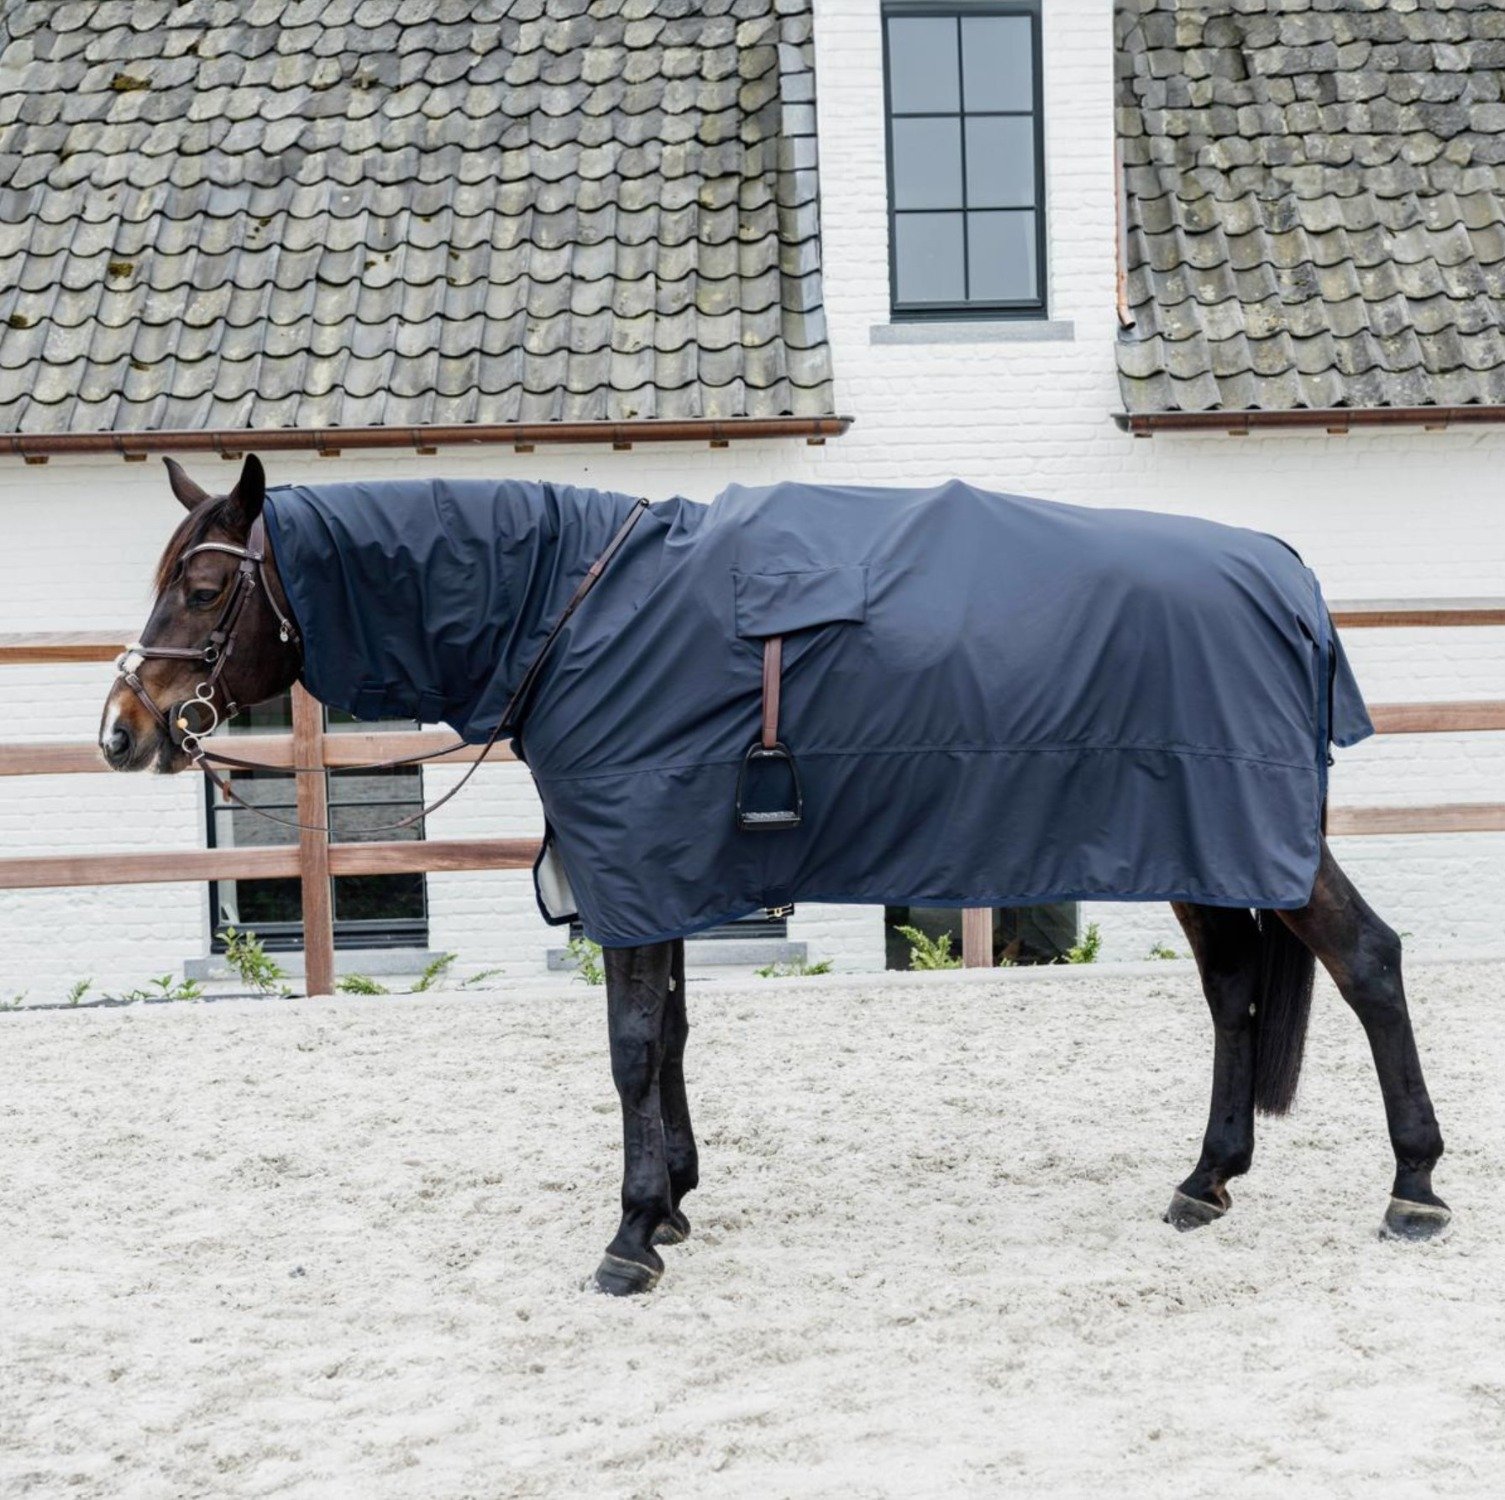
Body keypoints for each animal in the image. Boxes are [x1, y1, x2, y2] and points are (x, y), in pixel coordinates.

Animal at [99, 453, 1450, 1295]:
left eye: (205, 585)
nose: (122, 729)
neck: (570, 611)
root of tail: (1284, 573)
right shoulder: (653, 870)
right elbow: (670, 1036)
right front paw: (674, 1200)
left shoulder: (634, 862)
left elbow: (629, 1047)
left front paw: (631, 1234)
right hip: (1203, 848)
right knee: (1232, 992)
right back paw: (1206, 1181)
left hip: (1245, 836)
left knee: (1365, 962)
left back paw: (1412, 1188)